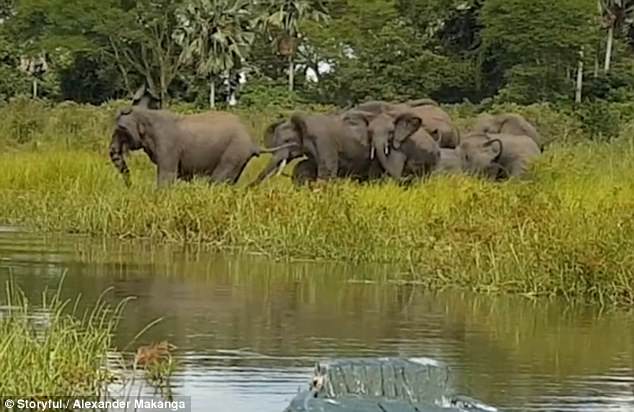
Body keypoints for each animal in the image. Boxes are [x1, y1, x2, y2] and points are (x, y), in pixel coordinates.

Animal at [109, 106, 294, 187]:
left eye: (121, 129)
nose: (131, 186)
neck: (146, 113)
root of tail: (252, 143)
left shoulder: (167, 144)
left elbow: (167, 175)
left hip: (233, 153)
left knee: (217, 180)